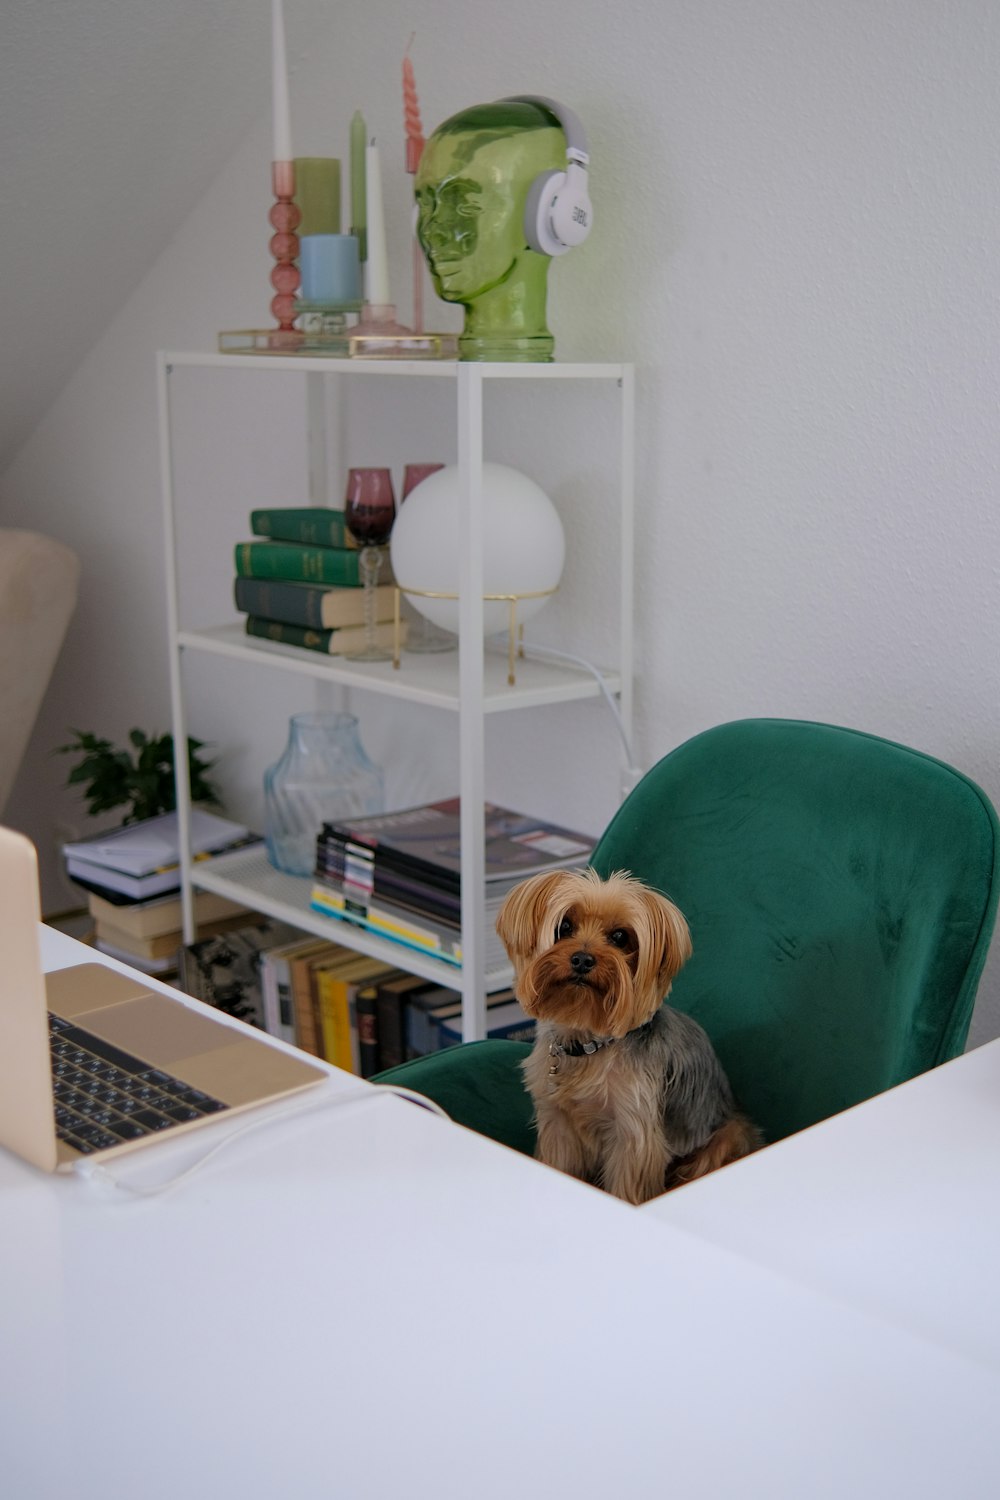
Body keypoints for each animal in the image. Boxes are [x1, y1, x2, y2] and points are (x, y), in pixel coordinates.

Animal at [497, 870, 761, 1206]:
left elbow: (626, 1187)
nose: (582, 959)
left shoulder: (634, 1136)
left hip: (727, 1137)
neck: (589, 1044)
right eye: (564, 927)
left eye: (620, 937)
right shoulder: (559, 1124)